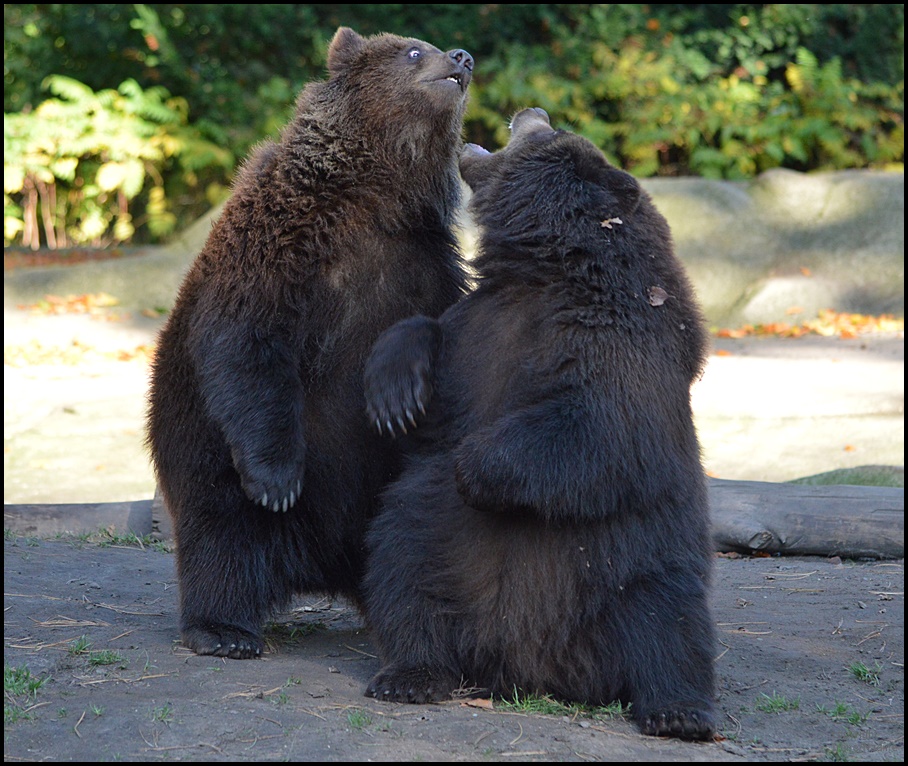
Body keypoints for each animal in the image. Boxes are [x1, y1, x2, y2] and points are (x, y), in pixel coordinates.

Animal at [147, 28, 476, 660]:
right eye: (414, 51)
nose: (464, 58)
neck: (377, 191)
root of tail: (321, 565)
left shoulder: (423, 260)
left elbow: (454, 329)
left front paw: (396, 388)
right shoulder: (280, 242)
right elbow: (245, 343)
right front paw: (277, 480)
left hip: (380, 489)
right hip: (197, 445)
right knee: (220, 538)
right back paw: (222, 629)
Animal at [360, 108, 716, 744]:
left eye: (551, 133)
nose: (532, 112)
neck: (544, 273)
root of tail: (530, 666)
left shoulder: (615, 344)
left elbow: (600, 430)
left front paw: (472, 467)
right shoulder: (477, 330)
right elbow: (426, 350)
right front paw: (394, 392)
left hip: (634, 567)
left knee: (669, 625)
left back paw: (678, 711)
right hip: (429, 543)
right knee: (402, 576)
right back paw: (411, 673)